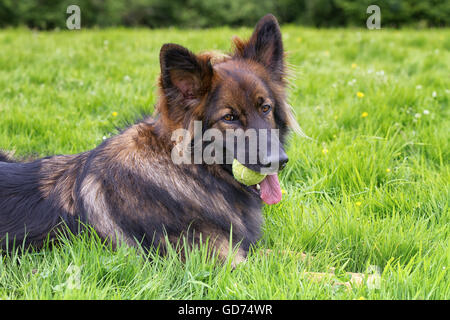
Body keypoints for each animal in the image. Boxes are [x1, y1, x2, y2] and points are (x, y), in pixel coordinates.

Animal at [0, 14, 302, 264]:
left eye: (266, 108)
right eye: (229, 118)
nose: (280, 161)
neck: (190, 173)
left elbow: (295, 254)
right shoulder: (224, 261)